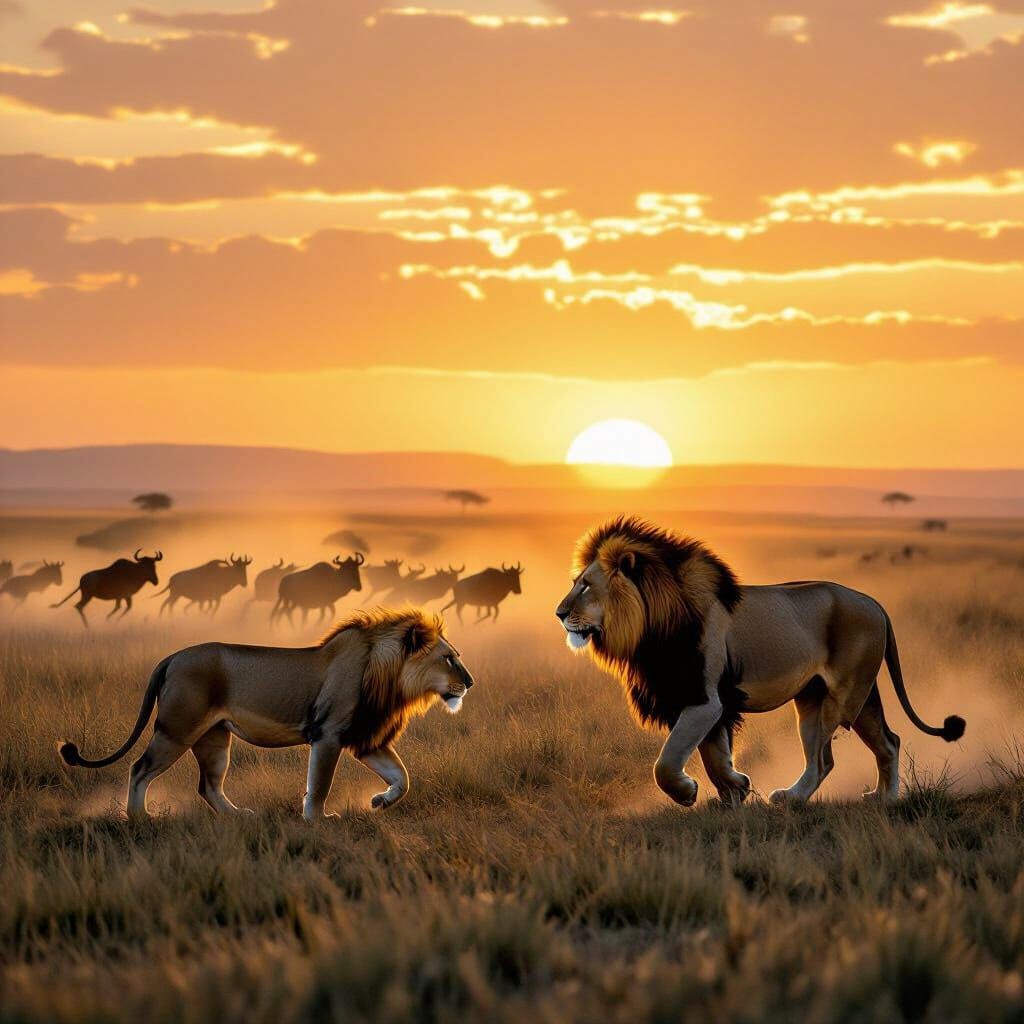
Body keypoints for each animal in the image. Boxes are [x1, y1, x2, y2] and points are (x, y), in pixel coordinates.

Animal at [59, 608, 474, 820]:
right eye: (448, 658)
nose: (470, 683)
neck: (391, 677)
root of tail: (173, 656)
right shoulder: (328, 734)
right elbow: (320, 785)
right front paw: (318, 821)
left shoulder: (365, 738)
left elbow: (403, 778)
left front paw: (378, 802)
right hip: (176, 730)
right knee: (139, 769)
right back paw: (140, 820)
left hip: (214, 740)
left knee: (208, 786)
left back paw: (238, 816)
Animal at [555, 516, 965, 807]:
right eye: (576, 582)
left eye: (586, 585)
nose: (559, 613)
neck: (649, 631)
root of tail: (875, 603)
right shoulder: (701, 701)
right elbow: (714, 756)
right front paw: (735, 790)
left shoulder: (704, 699)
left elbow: (667, 763)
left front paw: (688, 792)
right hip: (838, 698)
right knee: (888, 742)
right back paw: (884, 799)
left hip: (840, 696)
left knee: (824, 760)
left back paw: (791, 798)